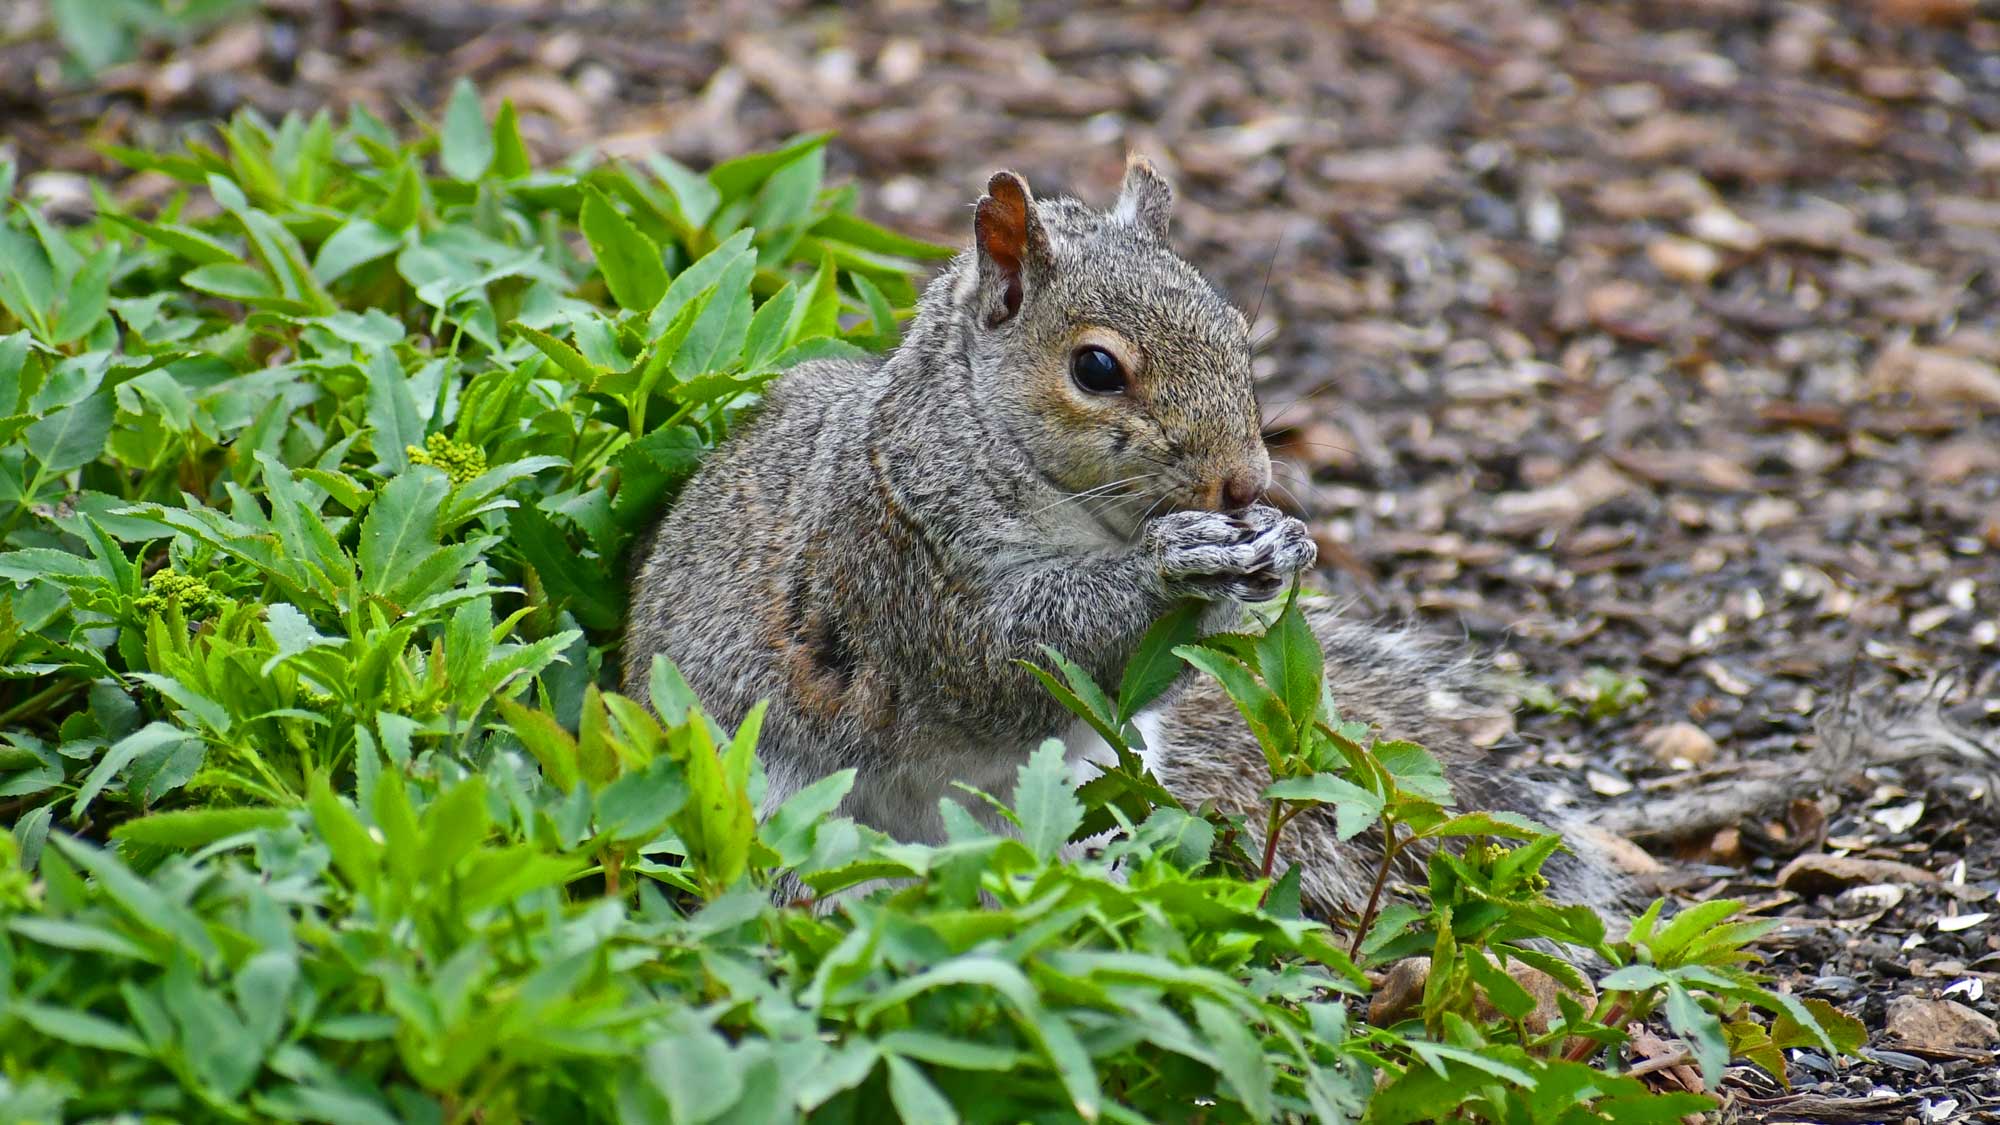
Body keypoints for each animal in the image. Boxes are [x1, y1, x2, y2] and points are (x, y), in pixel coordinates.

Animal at [623, 156, 1630, 917]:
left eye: (1237, 332)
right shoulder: (896, 563)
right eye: (1097, 368)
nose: (1246, 483)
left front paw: (1282, 545)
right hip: (758, 795)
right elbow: (1008, 658)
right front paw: (1179, 565)